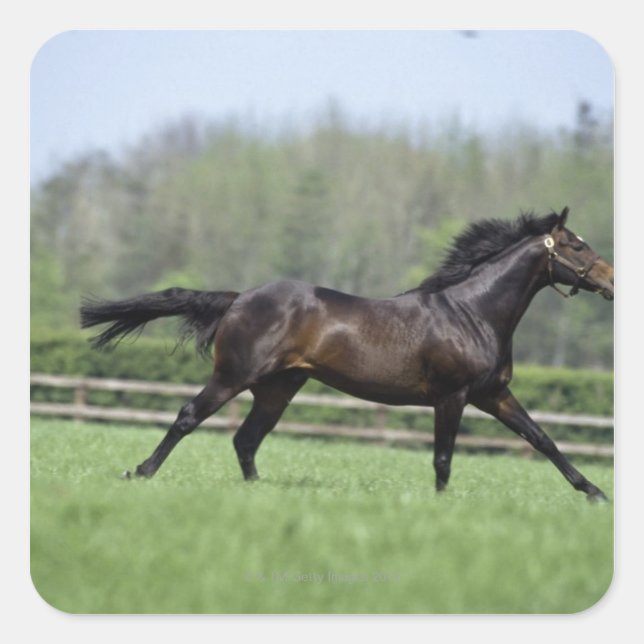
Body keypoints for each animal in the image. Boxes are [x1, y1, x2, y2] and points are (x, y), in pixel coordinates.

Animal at [80, 207, 614, 501]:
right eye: (576, 246)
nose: (611, 281)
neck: (472, 313)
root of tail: (238, 298)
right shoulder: (453, 396)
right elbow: (443, 457)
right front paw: (442, 505)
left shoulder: (493, 395)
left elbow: (542, 440)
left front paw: (595, 493)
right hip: (234, 376)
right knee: (189, 417)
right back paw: (140, 471)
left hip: (277, 388)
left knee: (247, 440)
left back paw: (259, 492)